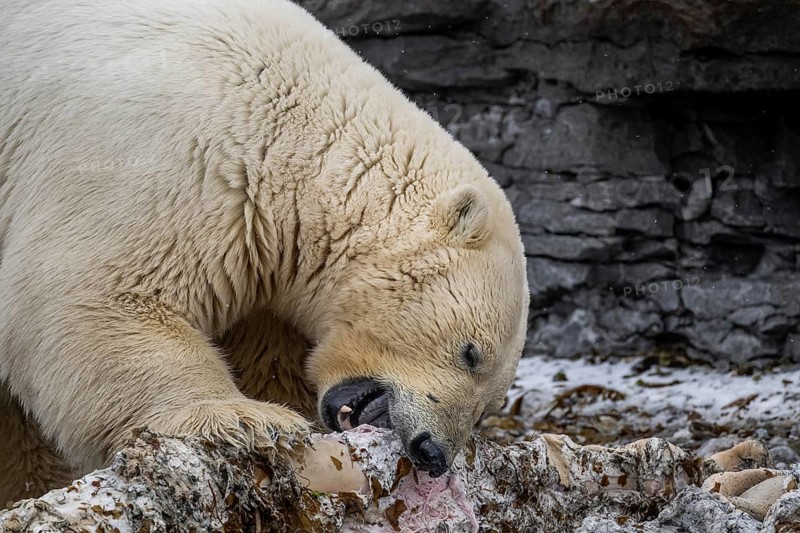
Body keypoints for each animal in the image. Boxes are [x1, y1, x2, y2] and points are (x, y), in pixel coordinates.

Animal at [0, 0, 529, 503]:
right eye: (470, 354)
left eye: (487, 406)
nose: (433, 452)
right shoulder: (172, 160)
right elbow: (98, 296)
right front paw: (240, 418)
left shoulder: (266, 260)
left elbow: (270, 357)